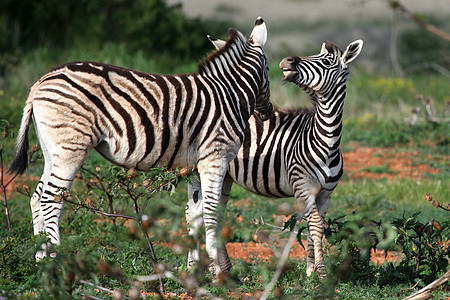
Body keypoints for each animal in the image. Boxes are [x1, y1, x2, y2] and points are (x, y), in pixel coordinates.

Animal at [8, 16, 272, 278]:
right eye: (268, 70)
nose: (267, 112)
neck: (230, 95)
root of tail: (41, 81)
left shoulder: (197, 165)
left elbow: (195, 214)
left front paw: (195, 270)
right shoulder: (215, 158)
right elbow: (212, 212)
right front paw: (216, 271)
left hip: (52, 150)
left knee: (36, 198)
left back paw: (41, 262)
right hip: (71, 147)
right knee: (51, 200)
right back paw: (56, 264)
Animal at [188, 38, 364, 278]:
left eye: (327, 61)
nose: (288, 60)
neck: (325, 140)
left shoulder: (325, 194)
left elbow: (314, 228)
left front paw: (310, 272)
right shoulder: (302, 186)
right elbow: (315, 226)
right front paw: (321, 273)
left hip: (224, 176)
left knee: (215, 213)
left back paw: (226, 270)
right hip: (198, 171)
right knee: (194, 215)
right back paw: (192, 269)